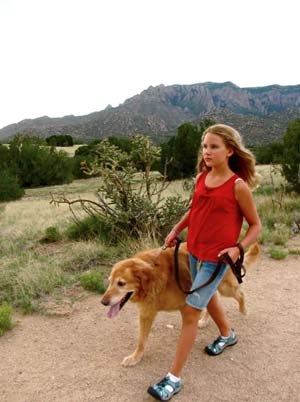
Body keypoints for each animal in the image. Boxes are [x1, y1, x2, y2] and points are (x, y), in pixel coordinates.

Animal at [101, 240, 260, 366]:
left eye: (121, 283)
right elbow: (141, 340)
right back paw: (205, 320)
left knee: (240, 294)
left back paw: (243, 310)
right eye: (109, 282)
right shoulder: (146, 313)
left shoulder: (186, 307)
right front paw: (135, 357)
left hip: (225, 287)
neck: (154, 277)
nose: (103, 302)